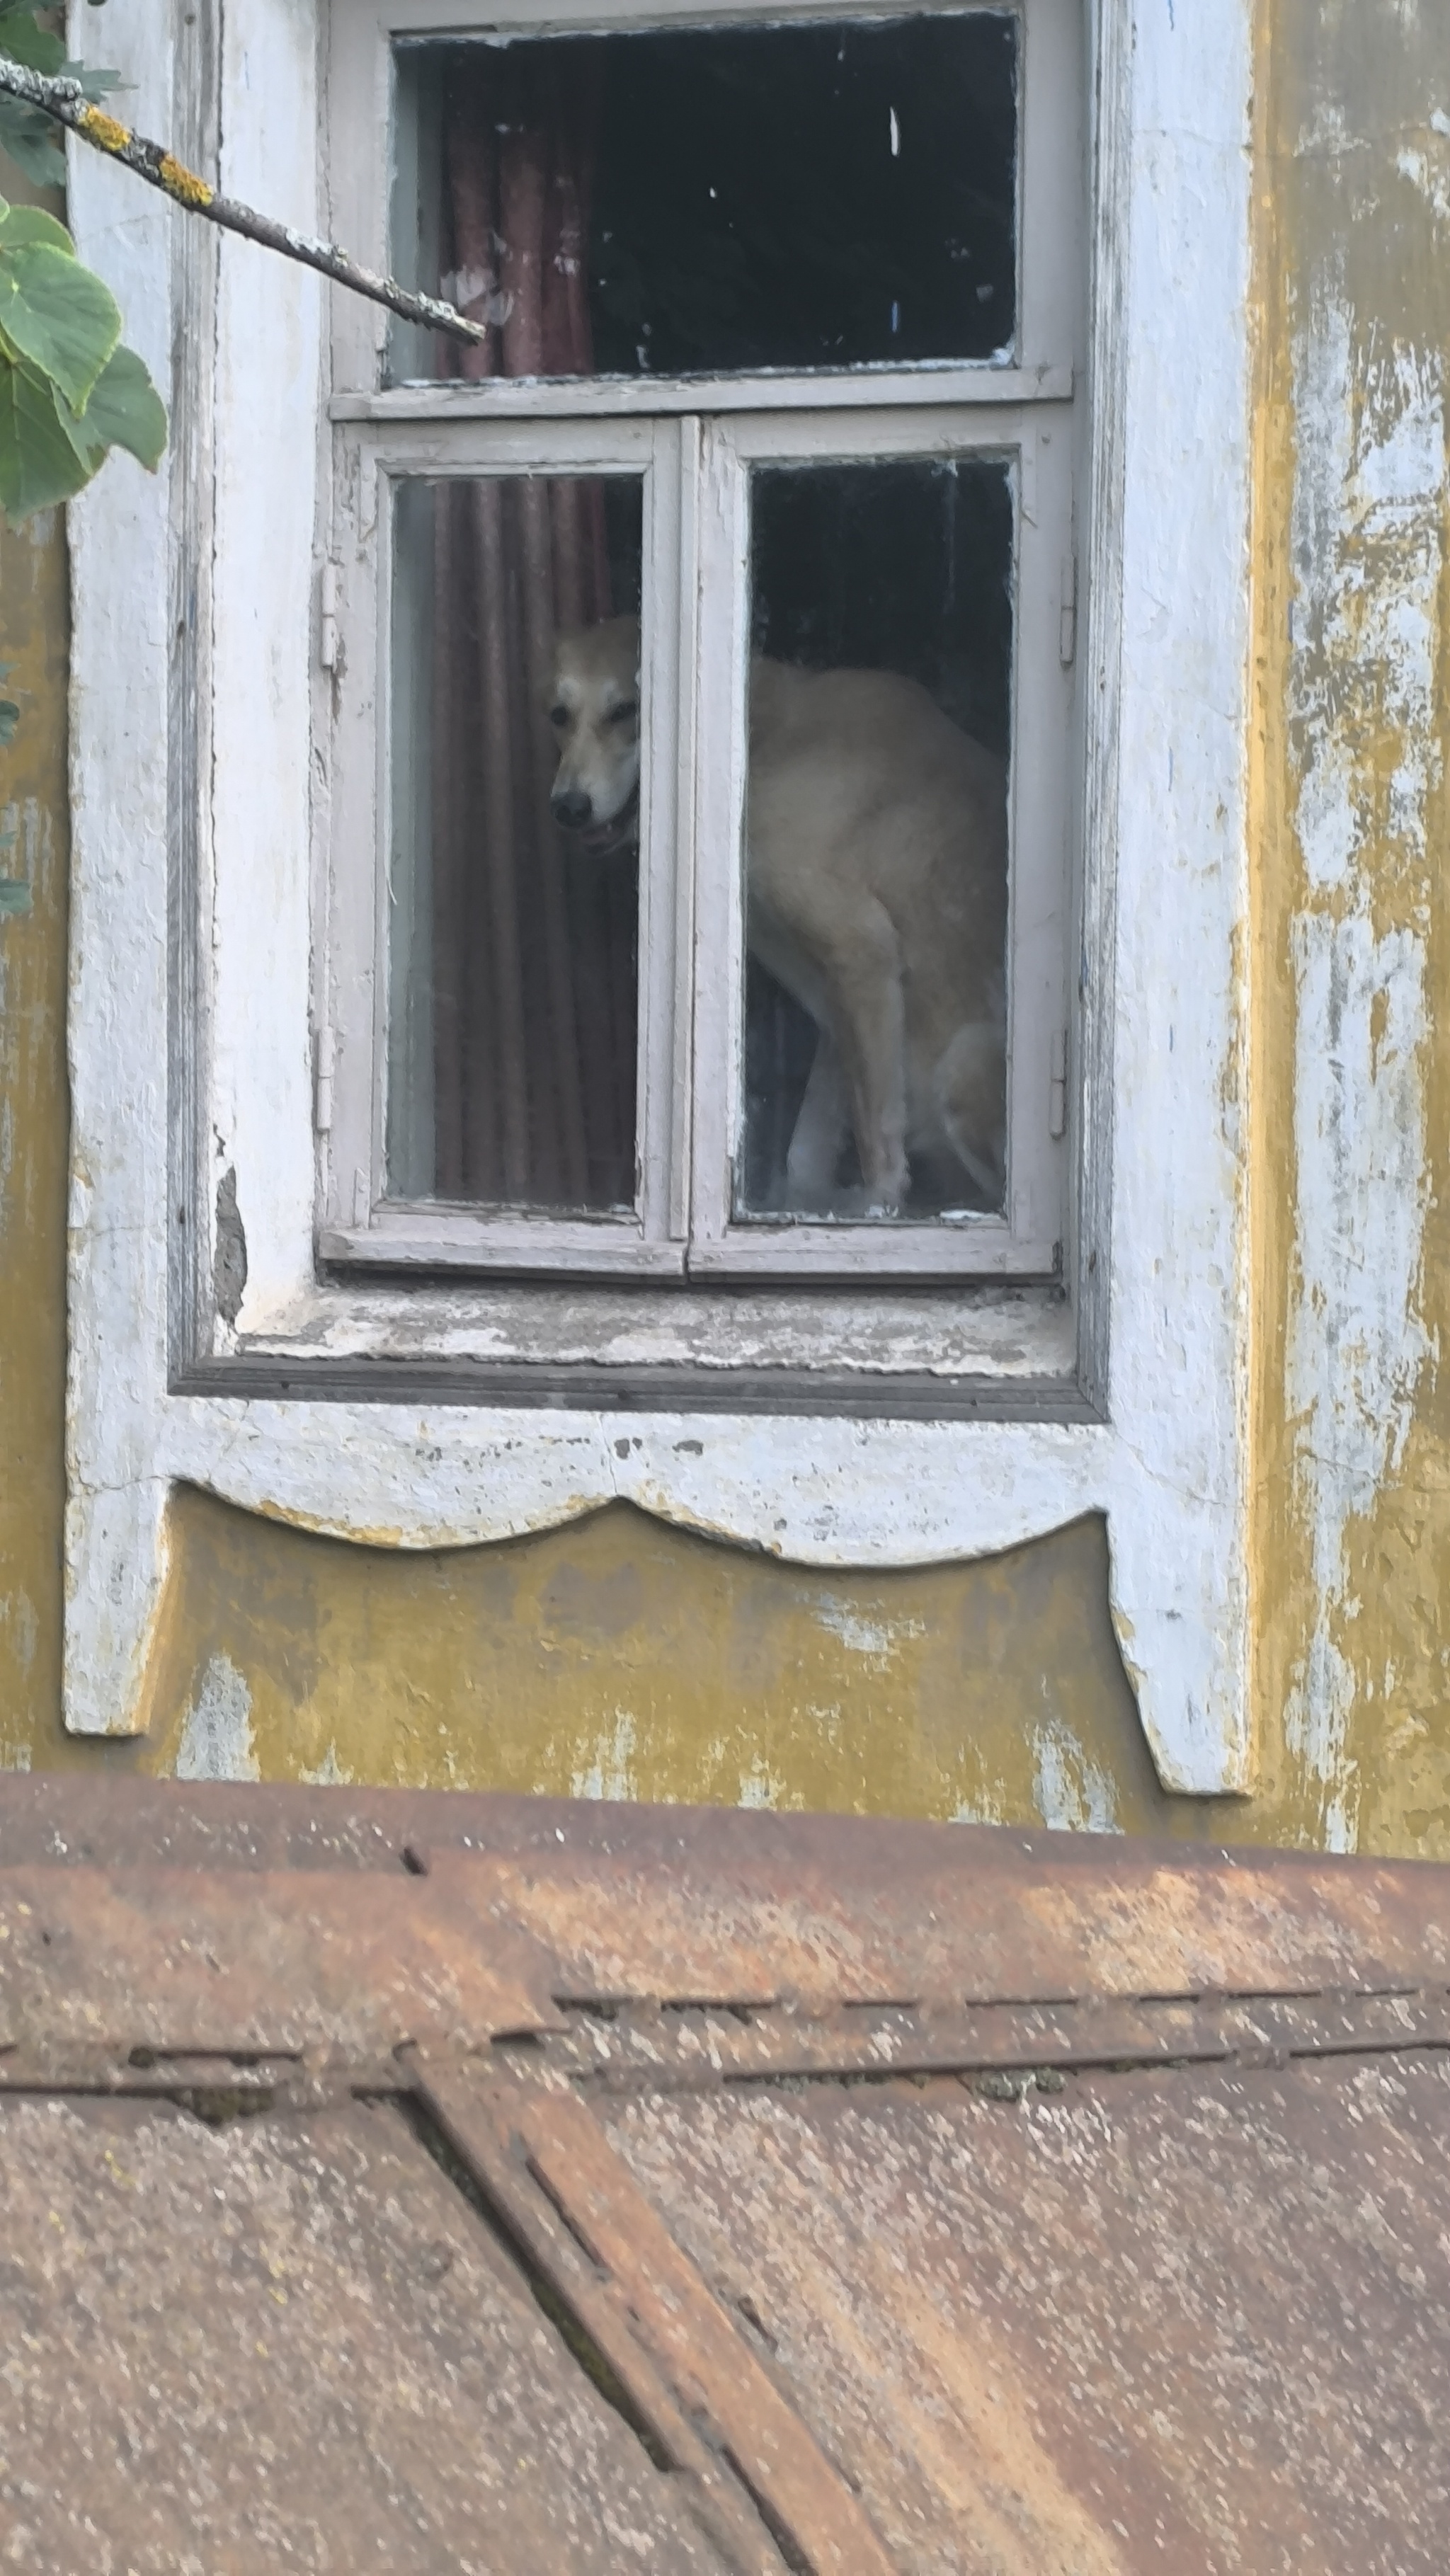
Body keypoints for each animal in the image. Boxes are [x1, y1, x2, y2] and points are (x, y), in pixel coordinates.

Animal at [551, 615, 1015, 1215]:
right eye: (558, 715)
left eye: (627, 710)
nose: (567, 807)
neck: (761, 740)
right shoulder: (839, 1002)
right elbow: (809, 1145)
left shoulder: (860, 950)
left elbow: (877, 1134)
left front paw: (876, 1206)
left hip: (965, 1060)